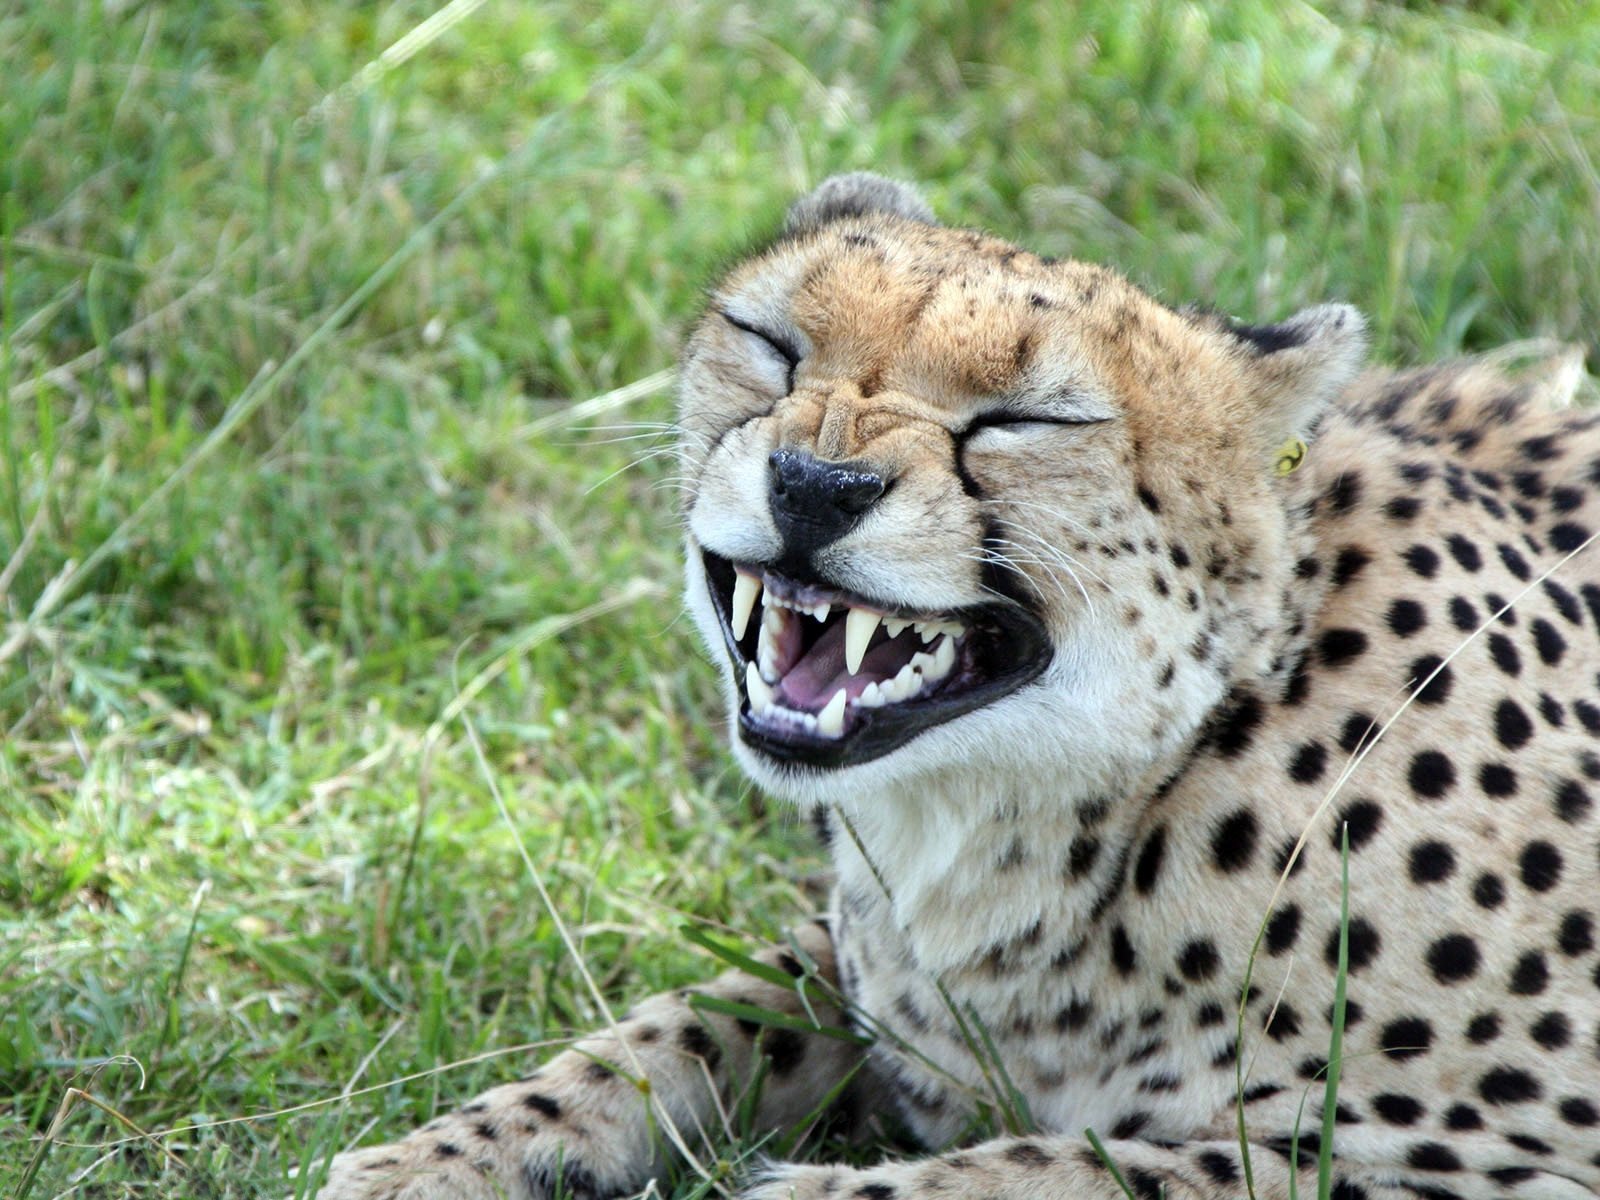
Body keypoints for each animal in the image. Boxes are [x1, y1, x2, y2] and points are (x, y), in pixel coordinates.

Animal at [317, 174, 1600, 1200]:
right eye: (773, 343)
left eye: (1026, 421)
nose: (815, 482)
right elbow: (684, 1027)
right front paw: (450, 1157)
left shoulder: (1493, 1161)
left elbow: (1072, 1169)